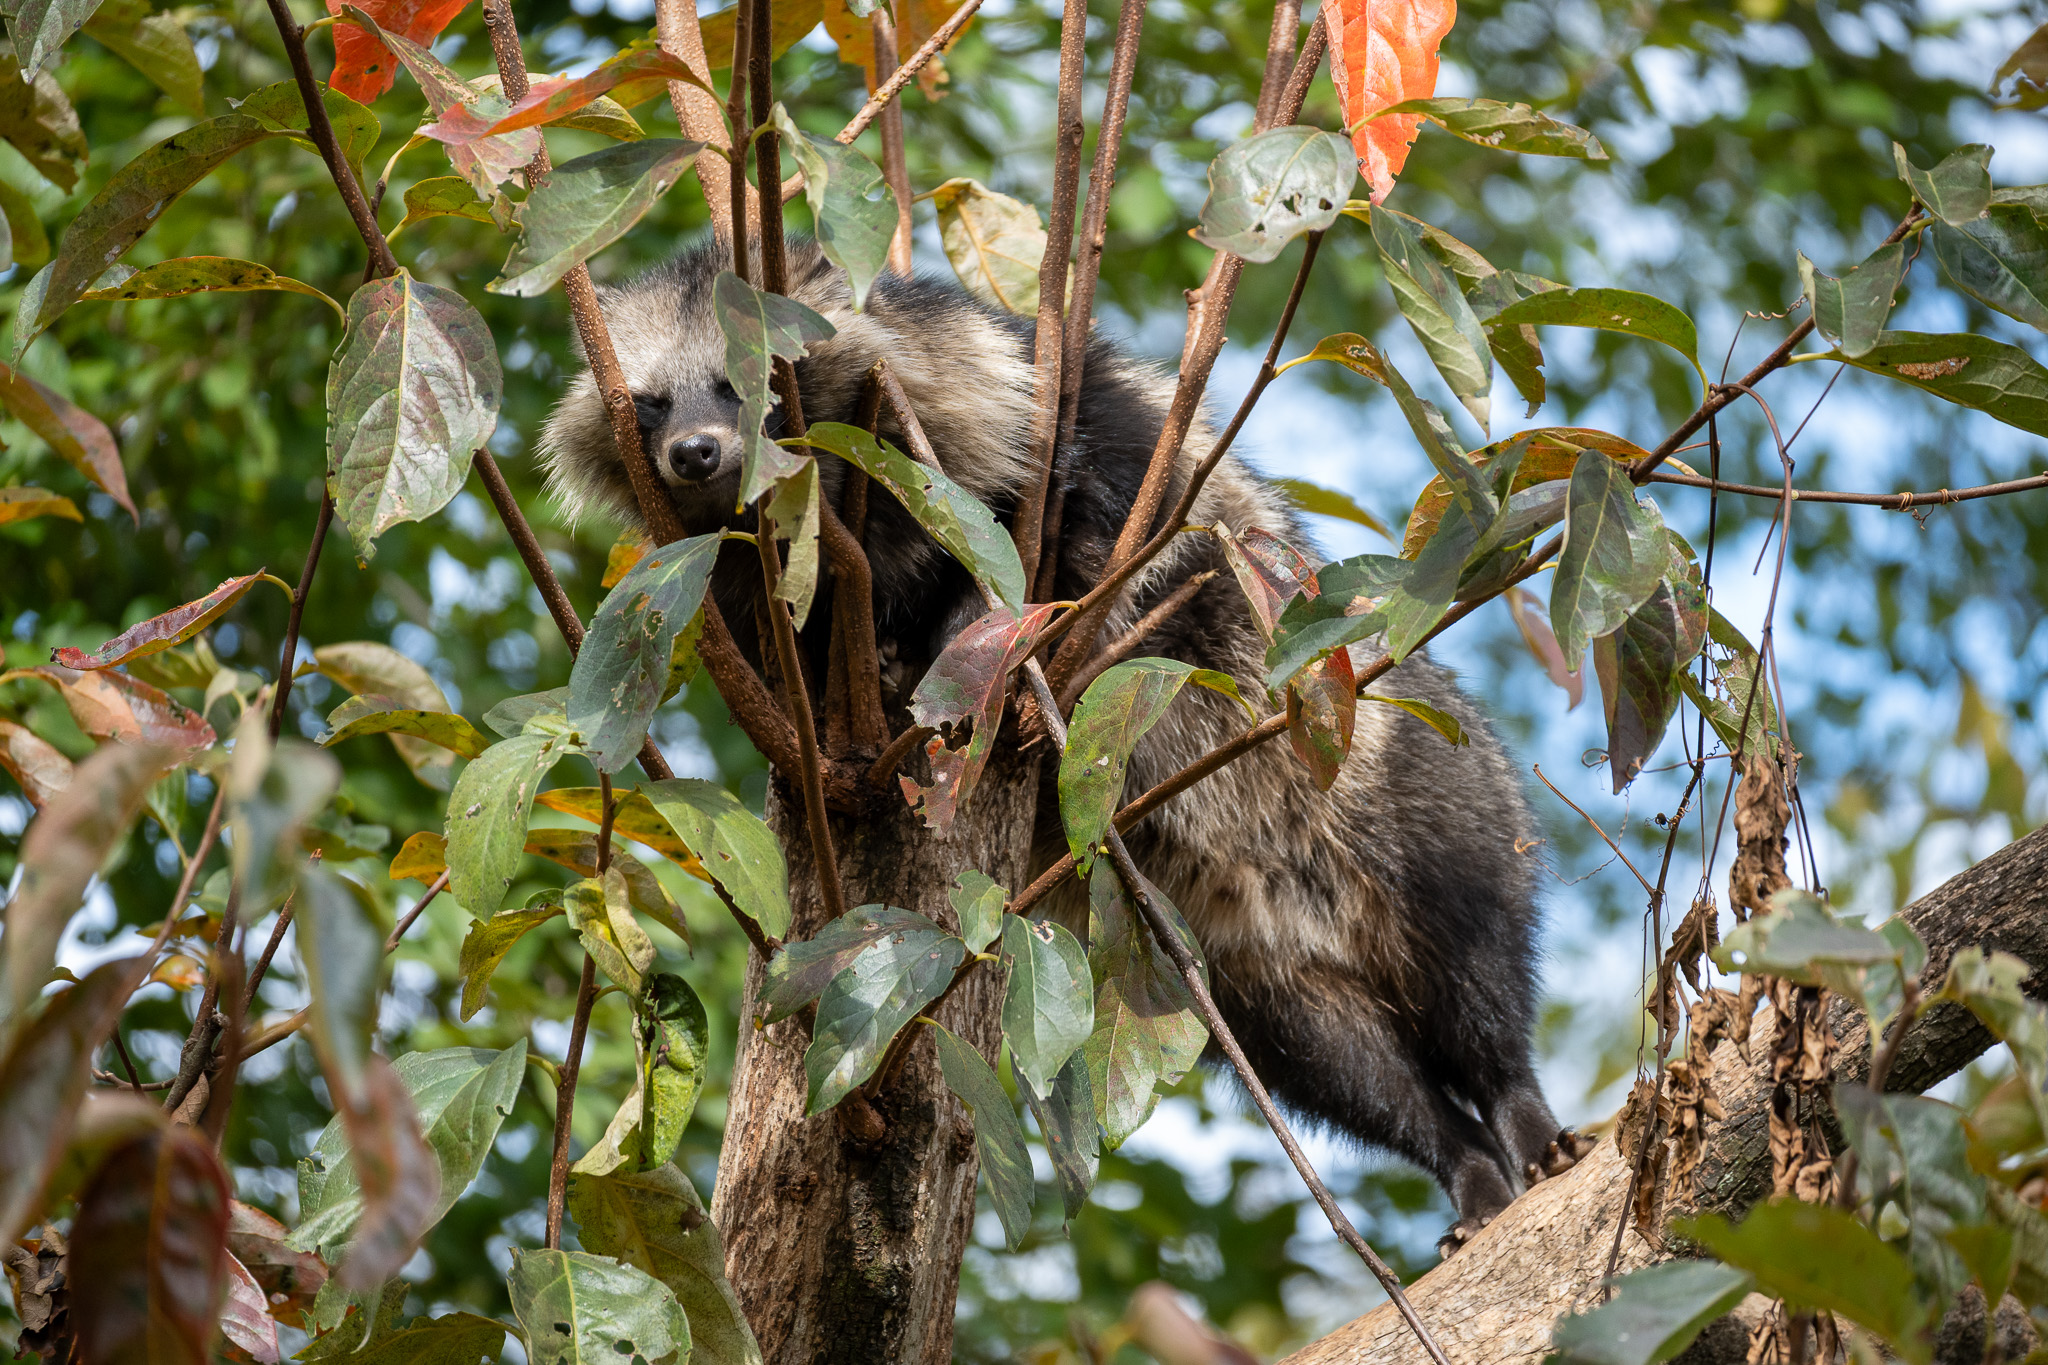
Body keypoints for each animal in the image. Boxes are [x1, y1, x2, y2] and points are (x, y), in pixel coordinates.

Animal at [541, 238, 1589, 1249]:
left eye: (742, 377)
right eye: (650, 399)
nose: (694, 452)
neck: (819, 491)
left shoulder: (1060, 413)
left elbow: (1098, 531)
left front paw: (970, 632)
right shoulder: (745, 576)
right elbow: (783, 636)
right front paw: (873, 660)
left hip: (1406, 778)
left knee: (1469, 971)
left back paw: (1517, 1104)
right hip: (1243, 968)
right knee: (1354, 1074)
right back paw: (1460, 1155)